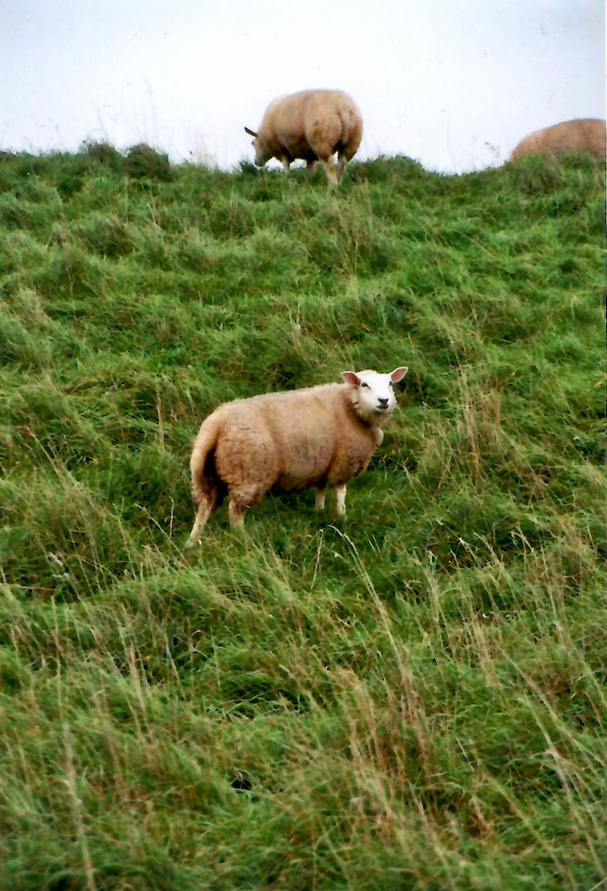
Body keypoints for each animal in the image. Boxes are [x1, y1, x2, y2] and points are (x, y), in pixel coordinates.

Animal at [188, 366, 408, 540]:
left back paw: (193, 542)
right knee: (235, 511)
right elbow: (340, 492)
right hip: (248, 473)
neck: (350, 407)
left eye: (390, 383)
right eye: (364, 384)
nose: (384, 400)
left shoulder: (324, 463)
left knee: (204, 507)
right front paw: (342, 516)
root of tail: (217, 423)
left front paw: (319, 512)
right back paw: (242, 538)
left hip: (207, 473)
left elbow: (320, 489)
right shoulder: (345, 461)